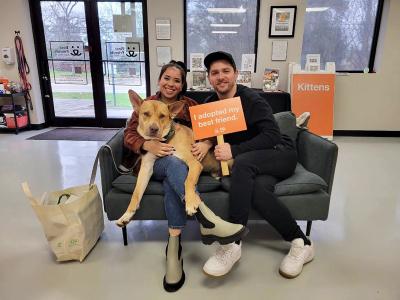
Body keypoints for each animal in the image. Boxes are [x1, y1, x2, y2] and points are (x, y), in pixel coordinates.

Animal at [115, 90, 222, 226]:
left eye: (162, 116)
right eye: (146, 114)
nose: (154, 129)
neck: (164, 140)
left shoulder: (194, 164)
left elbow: (188, 181)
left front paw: (190, 203)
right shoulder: (146, 169)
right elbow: (136, 193)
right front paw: (127, 215)